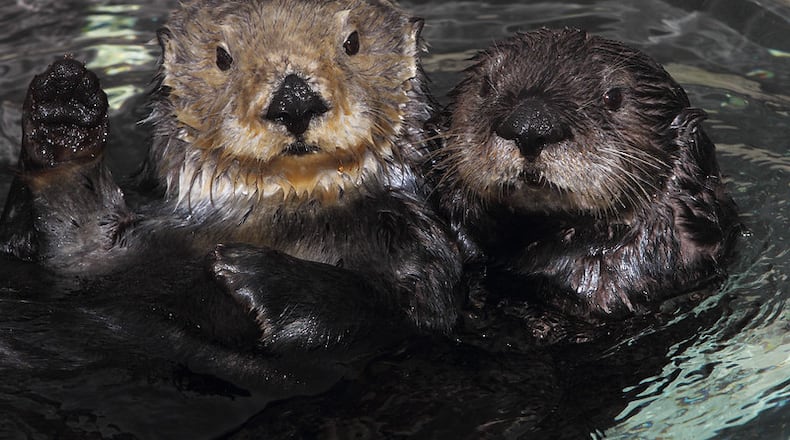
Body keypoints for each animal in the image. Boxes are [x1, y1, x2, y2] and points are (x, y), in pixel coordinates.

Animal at [0, 0, 462, 352]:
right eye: (223, 56)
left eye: (352, 43)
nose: (295, 103)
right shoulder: (99, 255)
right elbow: (68, 238)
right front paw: (64, 105)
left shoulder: (417, 241)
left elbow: (409, 316)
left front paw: (256, 276)